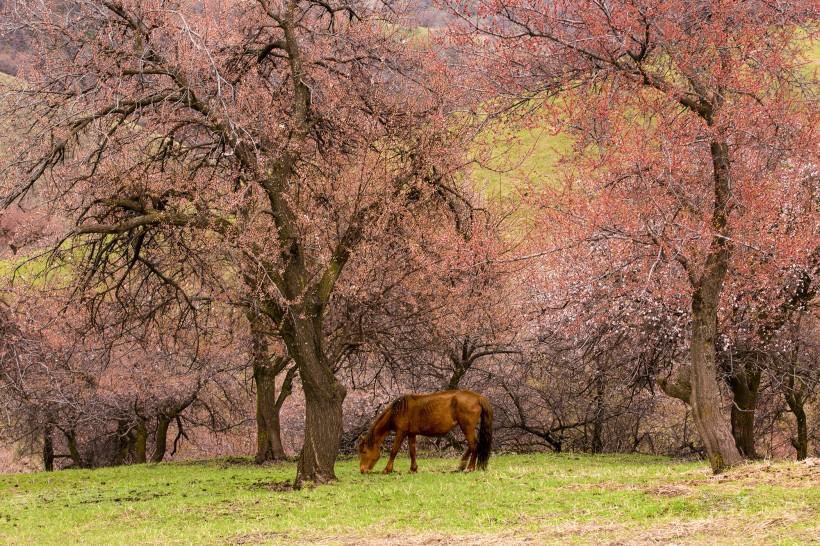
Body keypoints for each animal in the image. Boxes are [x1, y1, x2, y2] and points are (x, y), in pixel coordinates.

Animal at [354, 386, 494, 472]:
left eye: (364, 451)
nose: (362, 470)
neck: (398, 410)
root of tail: (478, 397)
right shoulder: (411, 434)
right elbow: (412, 451)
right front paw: (413, 469)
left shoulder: (401, 432)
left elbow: (394, 450)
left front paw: (387, 469)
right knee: (471, 445)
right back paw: (462, 465)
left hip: (467, 427)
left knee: (474, 445)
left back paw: (469, 468)